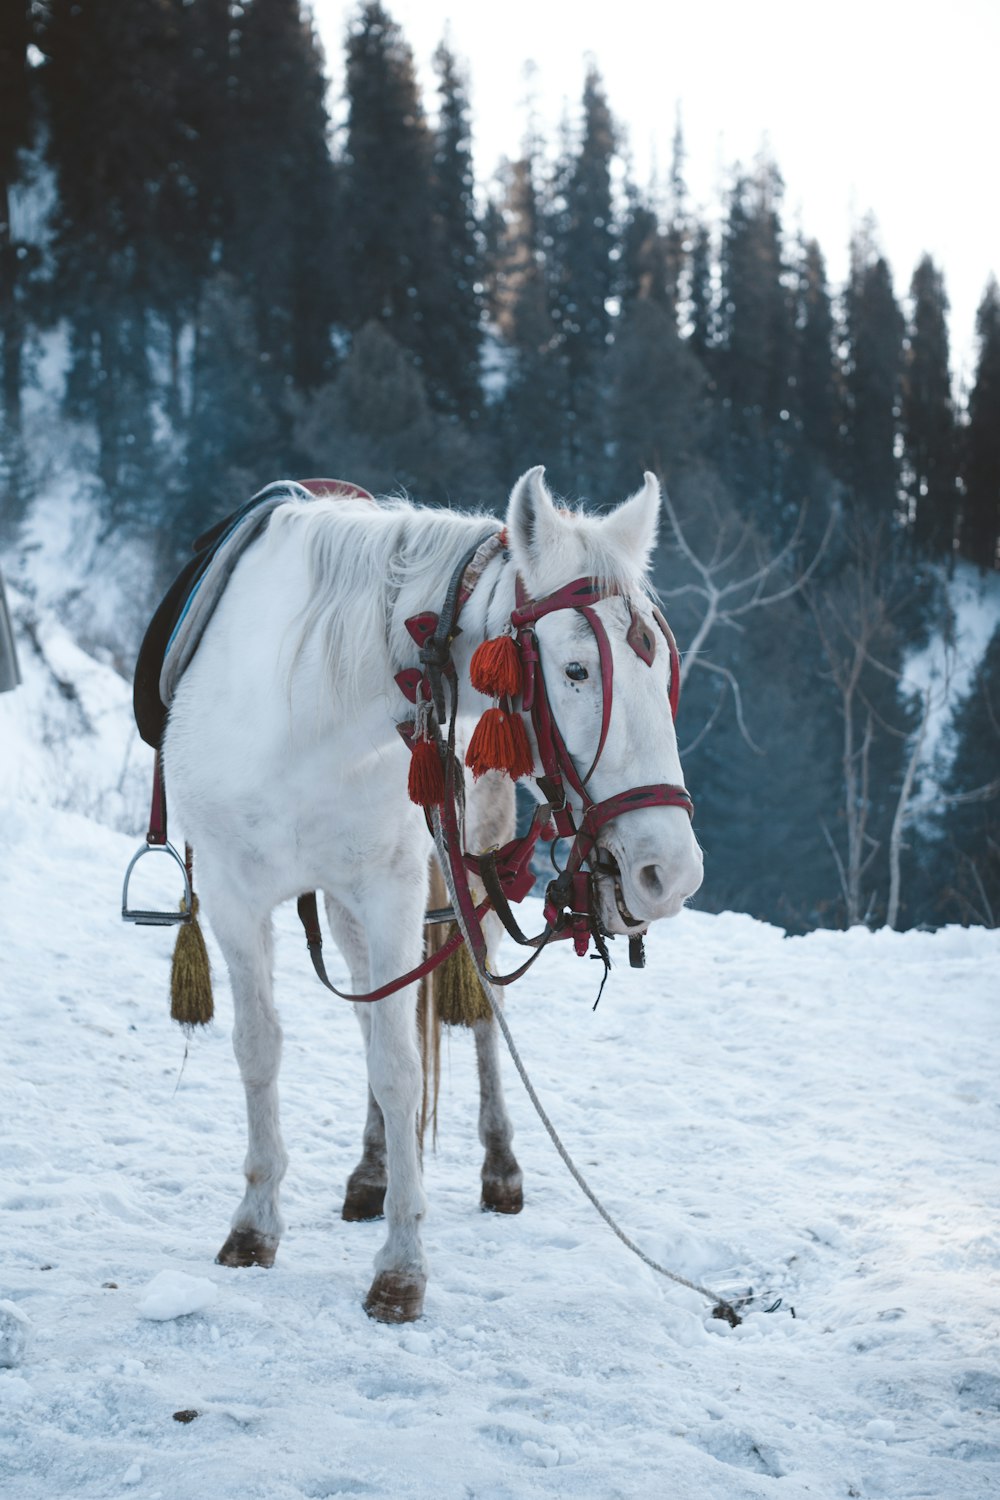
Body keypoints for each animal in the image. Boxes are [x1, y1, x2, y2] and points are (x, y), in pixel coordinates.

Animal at [164, 468, 701, 1326]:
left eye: (660, 673)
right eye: (577, 670)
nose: (671, 872)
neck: (308, 714)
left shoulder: (390, 890)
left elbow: (399, 1065)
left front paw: (402, 1266)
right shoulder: (229, 892)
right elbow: (261, 1047)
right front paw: (255, 1222)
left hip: (463, 864)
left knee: (479, 1010)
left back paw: (498, 1163)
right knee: (368, 1012)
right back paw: (372, 1170)